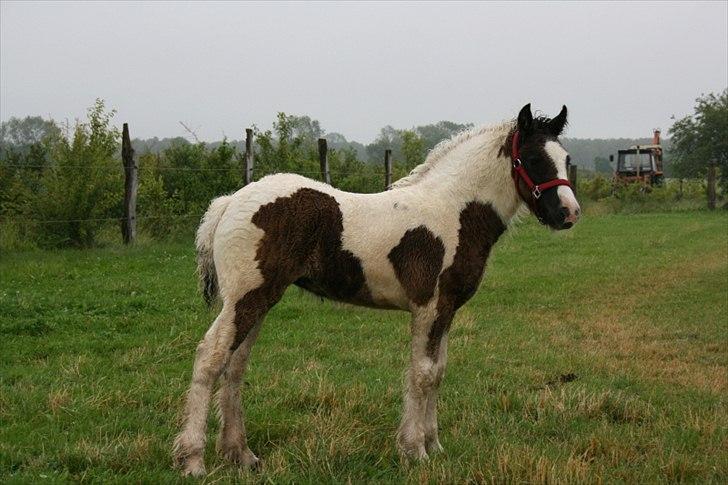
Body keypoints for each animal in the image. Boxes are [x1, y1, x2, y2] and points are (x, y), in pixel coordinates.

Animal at [172, 103, 580, 476]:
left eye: (565, 159)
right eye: (532, 158)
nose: (569, 213)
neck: (454, 212)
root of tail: (229, 202)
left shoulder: (446, 310)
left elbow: (439, 372)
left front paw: (435, 446)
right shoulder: (429, 307)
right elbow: (422, 374)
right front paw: (415, 451)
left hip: (260, 299)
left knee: (235, 365)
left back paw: (241, 455)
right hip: (244, 299)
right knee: (211, 357)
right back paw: (193, 461)